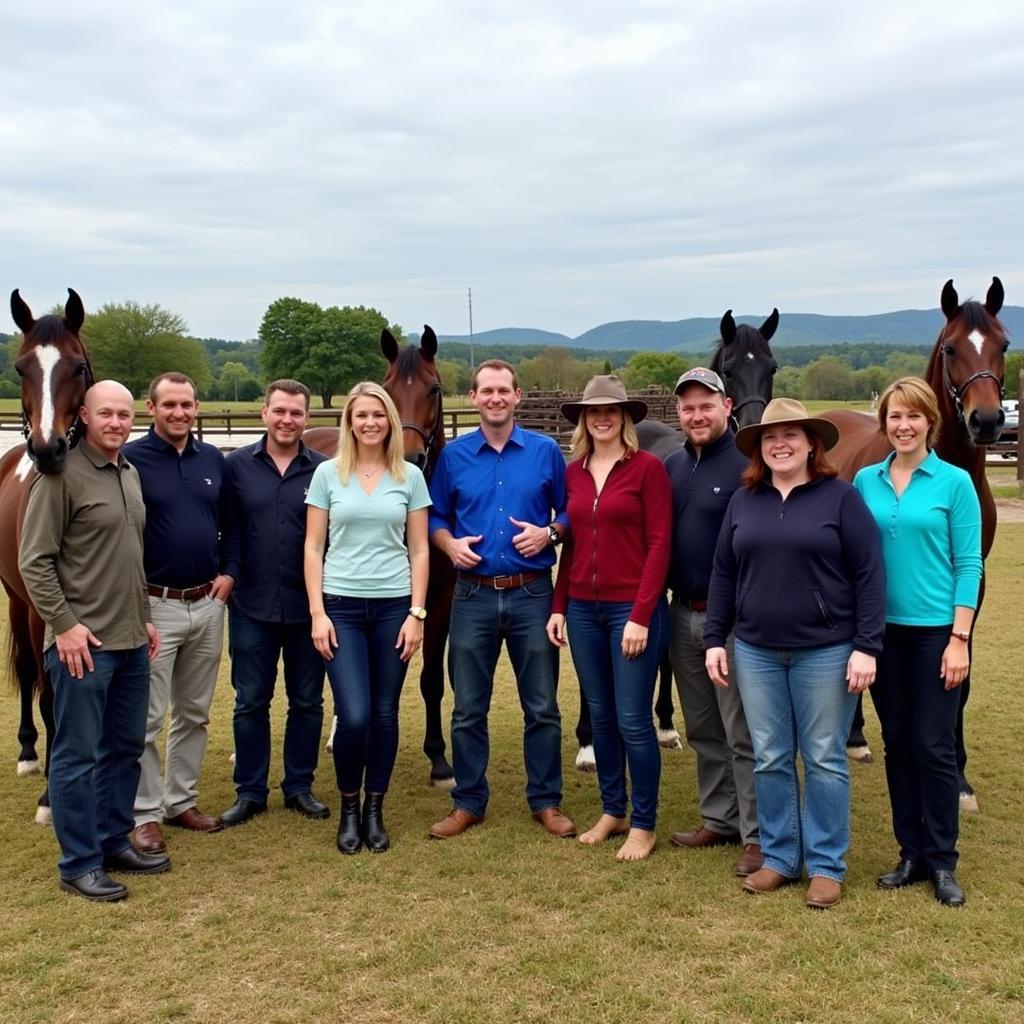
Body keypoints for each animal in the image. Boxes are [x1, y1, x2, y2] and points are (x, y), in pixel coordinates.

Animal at [299, 323, 452, 786]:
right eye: (386, 389)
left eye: (434, 388)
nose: (411, 456)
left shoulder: (438, 601)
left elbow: (431, 678)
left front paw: (439, 759)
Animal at [823, 276, 1007, 811]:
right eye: (951, 348)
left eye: (1005, 344)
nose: (987, 421)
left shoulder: (973, 586)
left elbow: (959, 673)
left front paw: (960, 779)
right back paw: (854, 736)